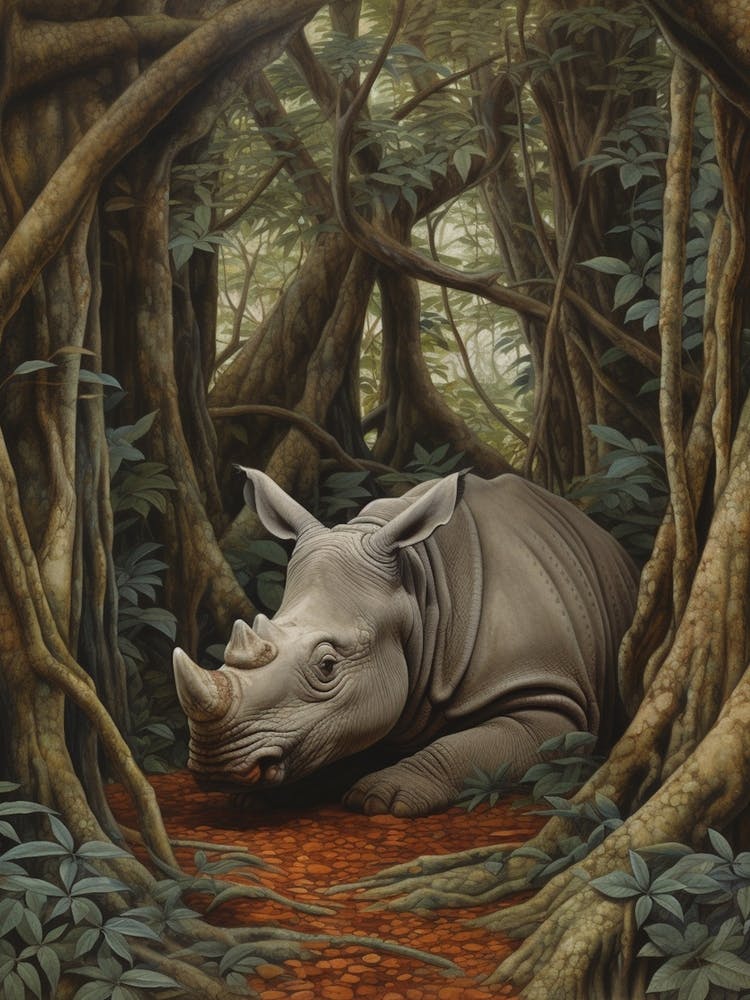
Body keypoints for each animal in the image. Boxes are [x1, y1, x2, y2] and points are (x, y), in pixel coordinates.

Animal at [173, 469, 639, 816]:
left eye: (327, 665)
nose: (216, 764)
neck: (421, 592)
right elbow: (342, 732)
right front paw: (255, 798)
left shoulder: (549, 692)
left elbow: (473, 747)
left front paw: (379, 798)